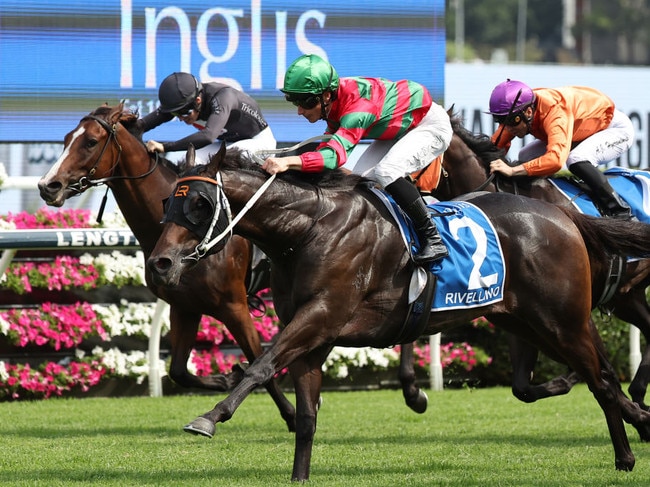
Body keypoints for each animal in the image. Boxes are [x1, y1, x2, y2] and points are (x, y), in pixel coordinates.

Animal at [36, 105, 294, 432]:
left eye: (91, 142)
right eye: (67, 138)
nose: (48, 186)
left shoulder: (234, 306)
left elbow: (260, 360)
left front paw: (292, 416)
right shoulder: (184, 307)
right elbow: (179, 371)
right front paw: (227, 377)